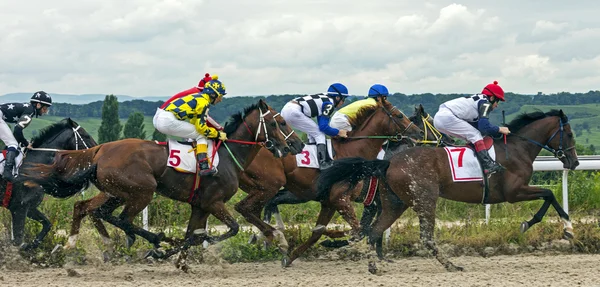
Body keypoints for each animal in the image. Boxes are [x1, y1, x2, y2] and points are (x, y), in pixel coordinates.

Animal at [1, 118, 96, 251]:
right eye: (86, 135)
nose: (99, 148)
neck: (32, 166)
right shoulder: (20, 207)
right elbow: (18, 239)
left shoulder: (29, 208)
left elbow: (47, 224)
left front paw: (32, 246)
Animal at [316, 109, 580, 274]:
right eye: (569, 134)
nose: (575, 162)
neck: (517, 148)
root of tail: (389, 161)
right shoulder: (514, 193)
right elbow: (549, 195)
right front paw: (565, 229)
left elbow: (548, 196)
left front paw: (554, 227)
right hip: (425, 200)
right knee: (425, 237)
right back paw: (451, 265)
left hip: (395, 203)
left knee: (373, 231)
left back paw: (373, 267)